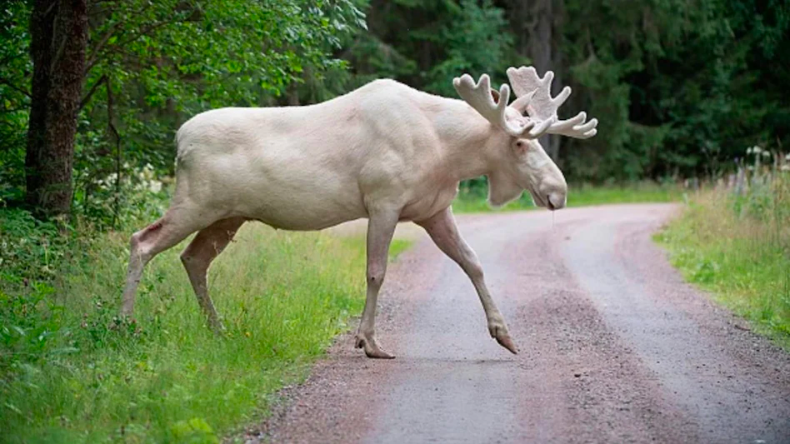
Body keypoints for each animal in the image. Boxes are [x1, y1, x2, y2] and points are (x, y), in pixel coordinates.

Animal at [120, 65, 596, 358]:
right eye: (519, 142)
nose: (558, 192)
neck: (447, 152)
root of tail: (179, 140)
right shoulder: (383, 200)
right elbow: (376, 272)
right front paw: (369, 342)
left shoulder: (434, 209)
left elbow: (473, 263)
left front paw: (504, 334)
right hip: (196, 202)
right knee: (142, 240)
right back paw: (125, 323)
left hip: (227, 215)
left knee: (193, 258)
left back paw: (217, 329)